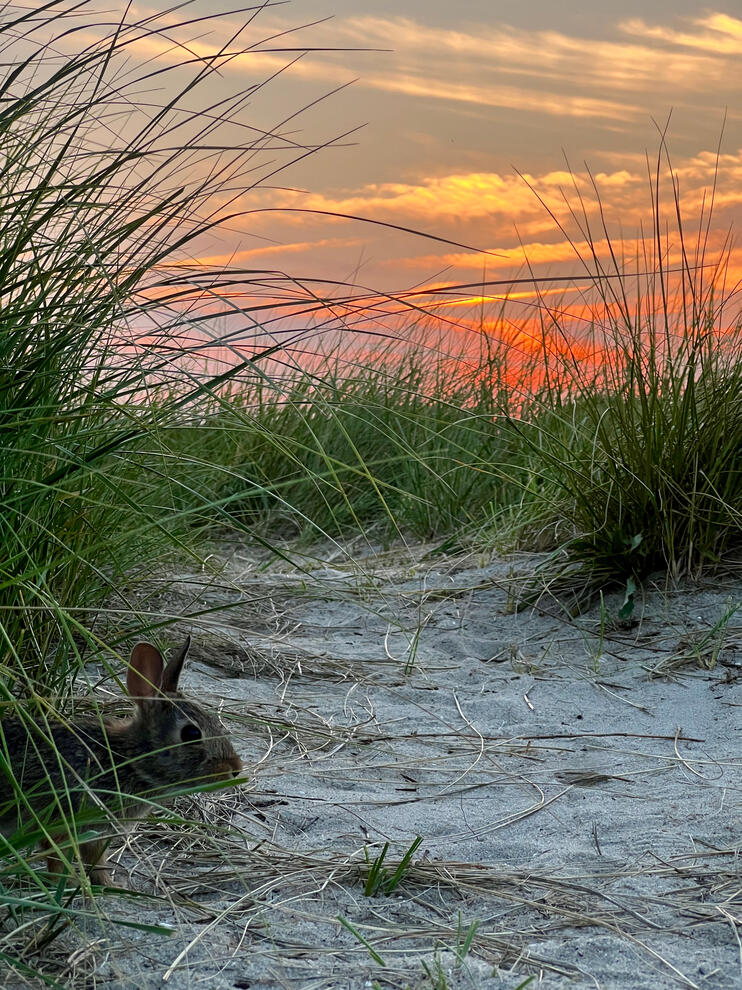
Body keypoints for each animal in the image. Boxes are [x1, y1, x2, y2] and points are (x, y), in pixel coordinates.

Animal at [0, 636, 243, 884]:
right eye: (191, 733)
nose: (235, 768)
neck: (128, 760)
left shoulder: (95, 835)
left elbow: (97, 863)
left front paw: (107, 884)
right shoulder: (61, 823)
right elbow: (58, 861)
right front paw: (72, 884)